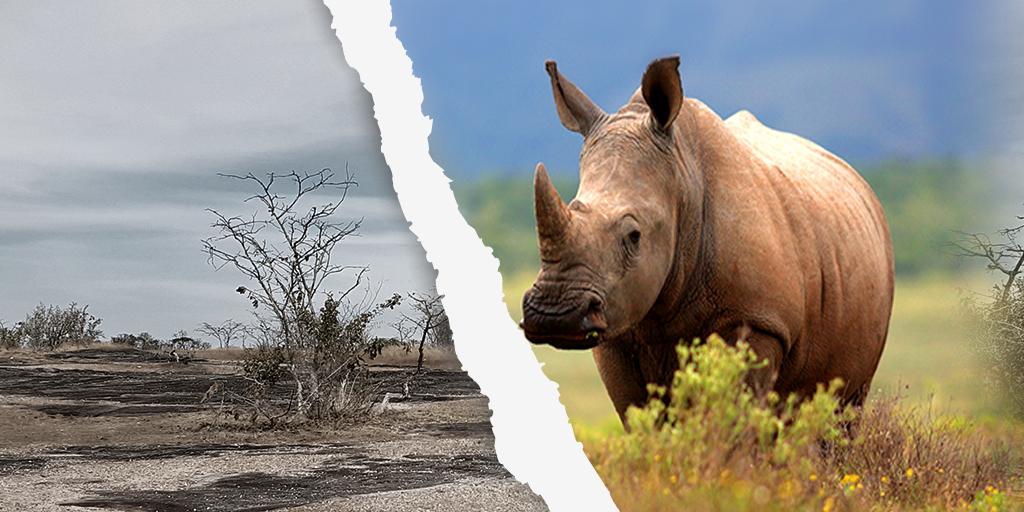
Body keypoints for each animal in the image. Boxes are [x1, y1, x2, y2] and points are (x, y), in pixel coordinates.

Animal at [521, 56, 894, 421]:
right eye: (572, 207)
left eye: (634, 236)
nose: (555, 314)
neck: (683, 180)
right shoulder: (616, 330)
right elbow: (642, 418)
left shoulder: (757, 321)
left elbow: (733, 417)